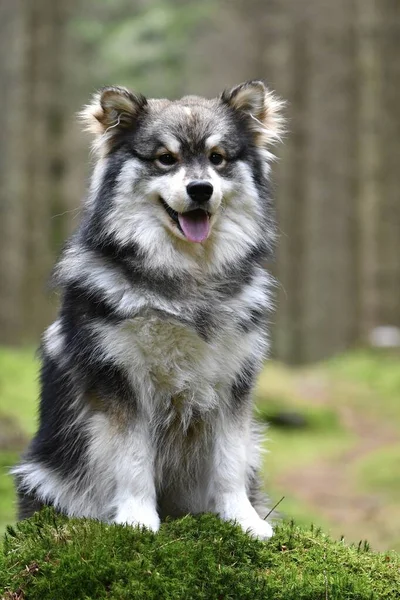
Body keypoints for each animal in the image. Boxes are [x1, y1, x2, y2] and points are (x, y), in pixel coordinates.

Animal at [12, 81, 284, 540]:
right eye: (165, 158)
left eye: (217, 158)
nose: (200, 189)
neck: (187, 280)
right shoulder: (122, 380)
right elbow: (133, 460)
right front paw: (138, 520)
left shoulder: (234, 383)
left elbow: (230, 462)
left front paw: (242, 520)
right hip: (43, 477)